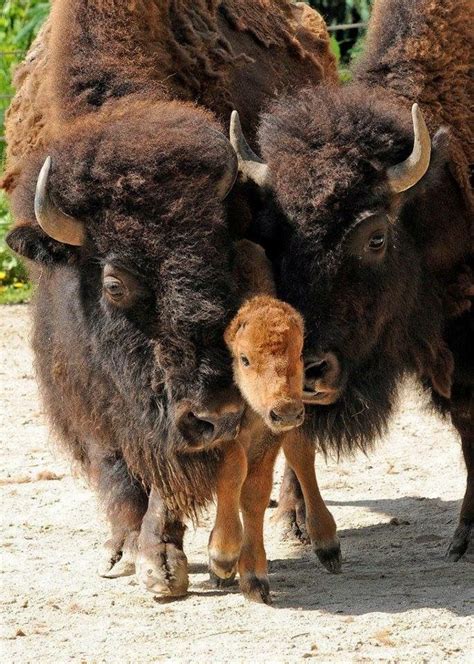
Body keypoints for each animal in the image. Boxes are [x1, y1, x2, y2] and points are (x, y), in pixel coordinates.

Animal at [209, 241, 338, 604]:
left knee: (301, 454)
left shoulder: (269, 436)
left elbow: (253, 493)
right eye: (244, 359)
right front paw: (222, 558)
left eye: (298, 354)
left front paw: (253, 577)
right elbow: (231, 474)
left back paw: (328, 546)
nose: (286, 411)